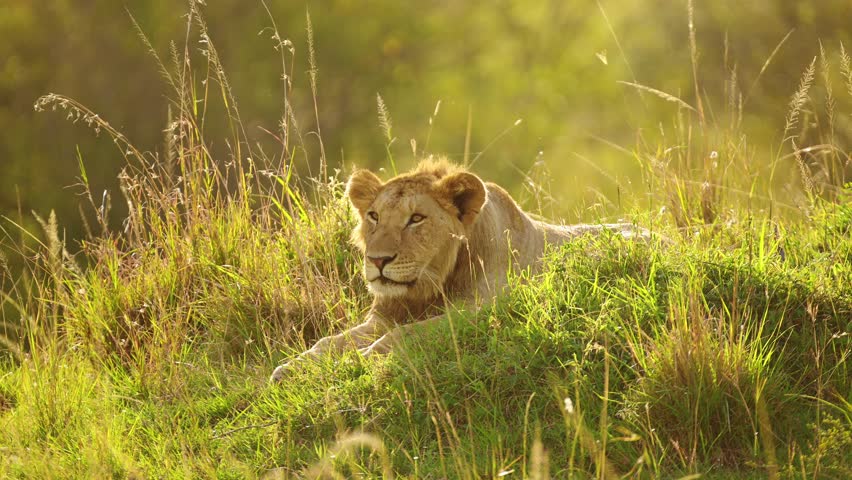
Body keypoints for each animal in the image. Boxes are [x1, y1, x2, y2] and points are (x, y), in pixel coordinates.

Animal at [271, 158, 648, 382]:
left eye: (416, 218)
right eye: (374, 216)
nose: (377, 260)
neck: (430, 287)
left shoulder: (481, 311)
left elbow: (403, 336)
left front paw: (356, 362)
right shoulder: (383, 316)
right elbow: (329, 341)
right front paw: (292, 368)